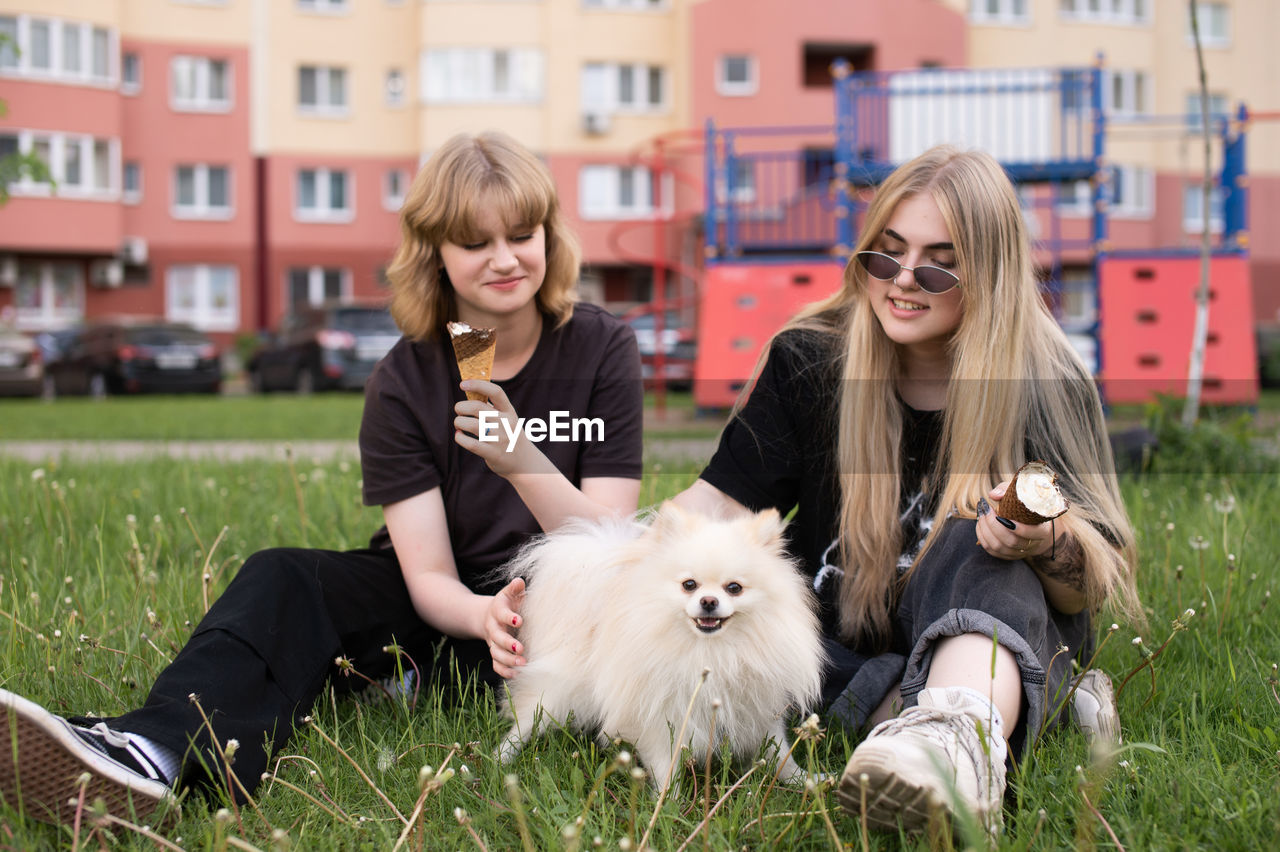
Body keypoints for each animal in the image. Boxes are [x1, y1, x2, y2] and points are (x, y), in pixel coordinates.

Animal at [494, 504, 824, 788]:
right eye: (689, 585)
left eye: (734, 588)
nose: (708, 601)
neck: (713, 651)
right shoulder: (661, 715)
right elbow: (667, 767)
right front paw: (666, 806)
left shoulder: (760, 708)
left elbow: (780, 752)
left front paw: (805, 781)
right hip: (555, 691)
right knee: (525, 721)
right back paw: (500, 757)